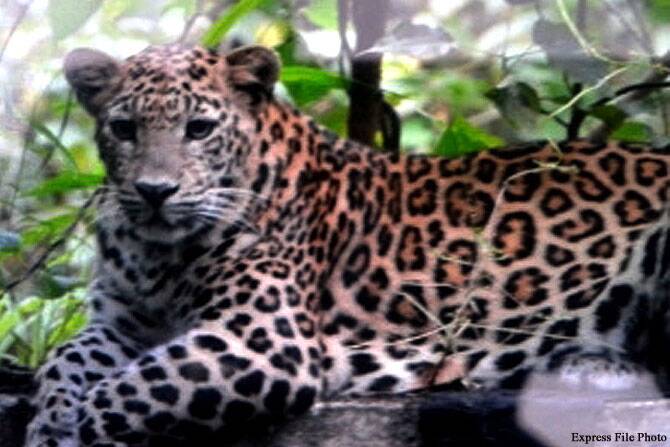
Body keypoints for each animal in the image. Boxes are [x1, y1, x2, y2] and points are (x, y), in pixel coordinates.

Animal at [24, 43, 670, 446]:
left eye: (199, 129)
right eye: (124, 129)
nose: (155, 191)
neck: (156, 252)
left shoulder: (263, 341)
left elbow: (128, 391)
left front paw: (75, 429)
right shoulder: (125, 324)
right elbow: (64, 361)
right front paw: (50, 424)